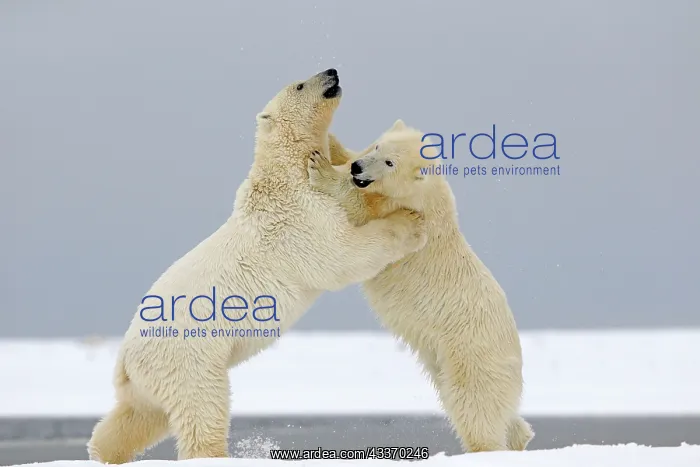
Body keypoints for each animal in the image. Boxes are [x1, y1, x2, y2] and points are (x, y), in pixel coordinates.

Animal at [87, 70, 427, 463]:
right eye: (300, 84)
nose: (331, 72)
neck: (285, 171)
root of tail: (125, 359)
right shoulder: (298, 217)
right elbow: (341, 254)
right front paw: (409, 223)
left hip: (149, 380)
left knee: (137, 417)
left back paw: (102, 452)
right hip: (188, 357)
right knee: (202, 407)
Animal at [307, 119, 534, 453]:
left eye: (390, 162)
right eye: (378, 146)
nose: (359, 169)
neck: (427, 191)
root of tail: (516, 355)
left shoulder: (408, 210)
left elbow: (360, 210)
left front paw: (321, 167)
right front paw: (335, 145)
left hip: (471, 356)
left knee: (474, 408)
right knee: (501, 413)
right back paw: (521, 437)